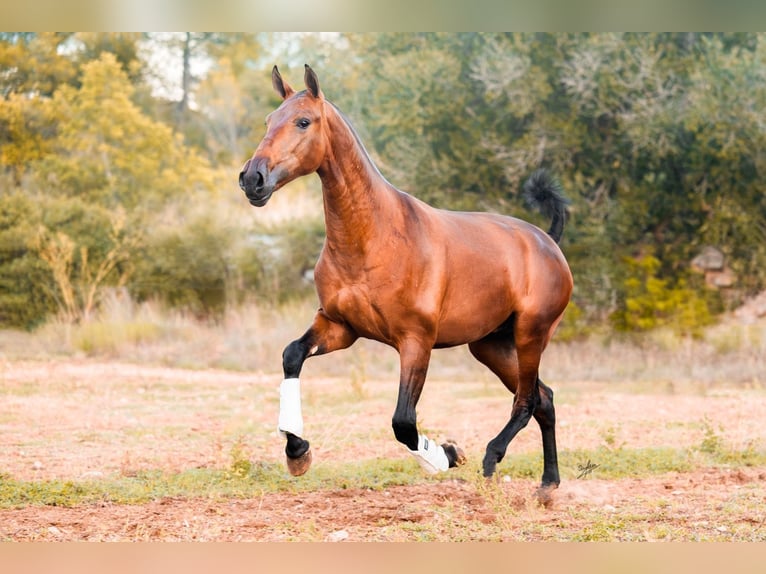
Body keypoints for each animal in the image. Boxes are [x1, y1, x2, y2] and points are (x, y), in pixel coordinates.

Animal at [240, 64, 576, 496]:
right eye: (269, 120)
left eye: (303, 121)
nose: (253, 178)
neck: (374, 238)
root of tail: (547, 241)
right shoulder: (339, 326)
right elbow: (291, 355)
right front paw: (297, 451)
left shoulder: (416, 341)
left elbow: (403, 422)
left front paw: (449, 453)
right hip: (492, 346)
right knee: (544, 398)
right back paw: (548, 484)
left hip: (530, 335)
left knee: (527, 400)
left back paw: (491, 458)